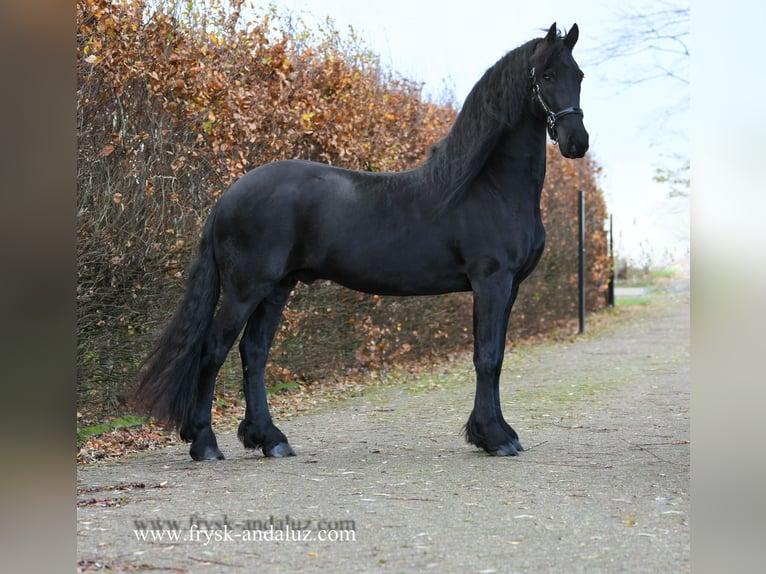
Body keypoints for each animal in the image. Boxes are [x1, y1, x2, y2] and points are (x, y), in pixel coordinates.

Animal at [135, 22, 589, 461]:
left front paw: (498, 432)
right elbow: (487, 357)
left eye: (579, 75)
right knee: (214, 349)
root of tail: (228, 197)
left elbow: (496, 357)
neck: (490, 187)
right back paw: (205, 443)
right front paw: (493, 437)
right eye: (547, 75)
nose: (576, 142)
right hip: (245, 288)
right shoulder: (491, 281)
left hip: (277, 287)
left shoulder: (510, 286)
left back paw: (269, 439)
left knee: (254, 352)